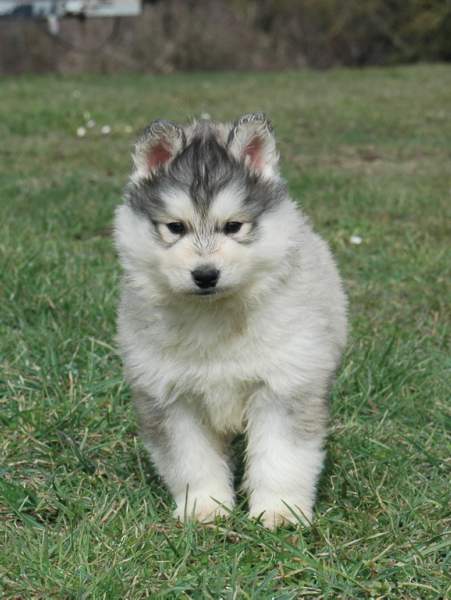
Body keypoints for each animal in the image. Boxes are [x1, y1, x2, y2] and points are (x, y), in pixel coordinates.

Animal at [114, 113, 347, 529]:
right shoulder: (170, 396)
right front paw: (204, 506)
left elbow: (281, 456)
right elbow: (191, 459)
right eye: (175, 227)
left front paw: (280, 511)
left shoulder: (284, 386)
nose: (205, 275)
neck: (214, 314)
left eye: (234, 226)